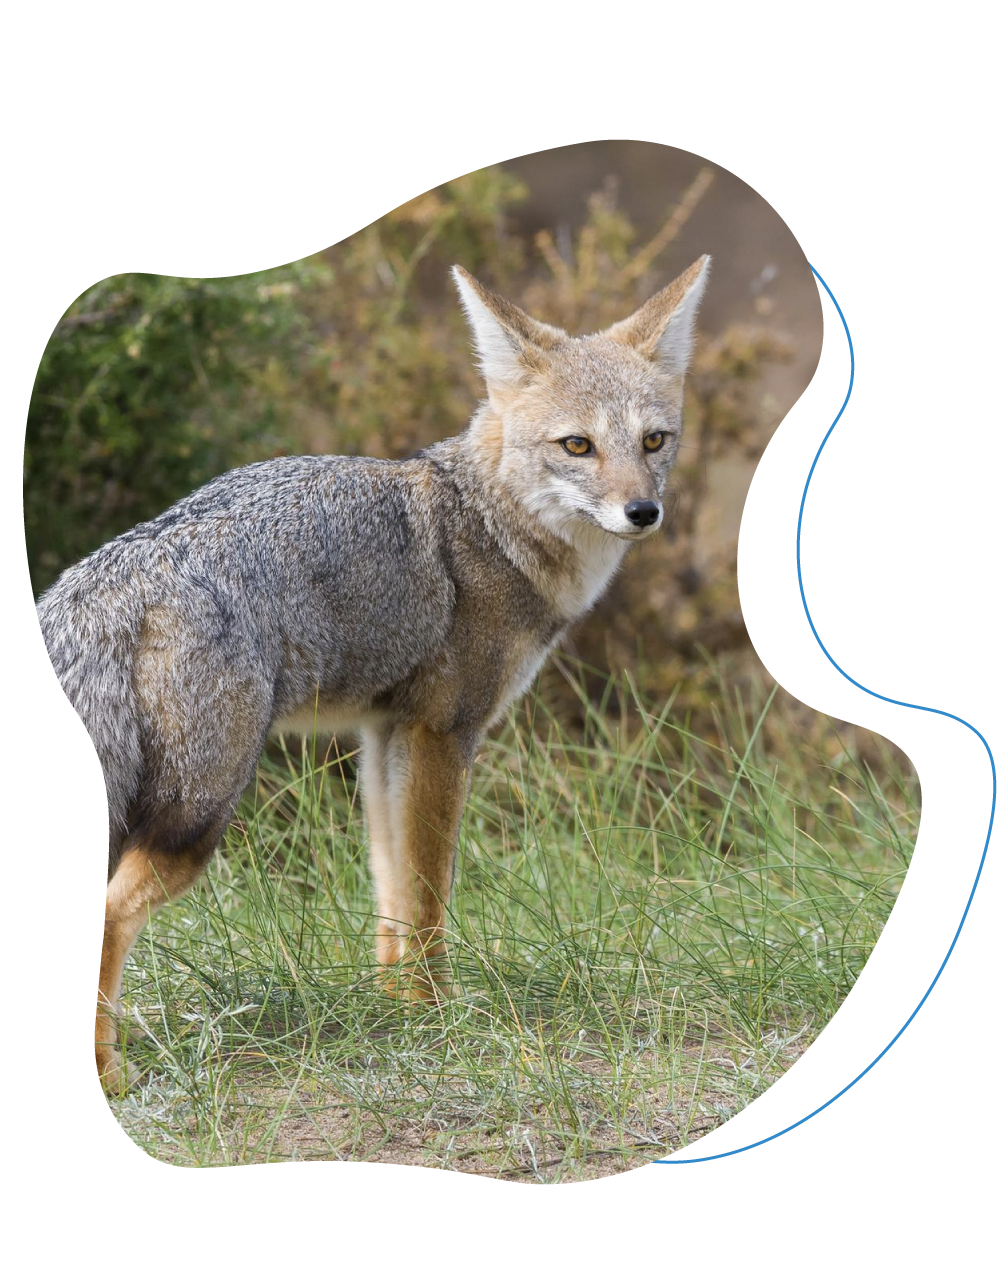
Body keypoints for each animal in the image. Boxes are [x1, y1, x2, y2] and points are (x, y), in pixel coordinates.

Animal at [35, 256, 710, 1091]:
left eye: (653, 441)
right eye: (577, 445)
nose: (641, 511)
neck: (484, 523)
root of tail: (105, 578)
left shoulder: (387, 733)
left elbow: (392, 886)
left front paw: (395, 1008)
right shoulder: (445, 732)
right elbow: (427, 892)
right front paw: (439, 1014)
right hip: (198, 813)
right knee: (113, 911)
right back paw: (110, 1067)